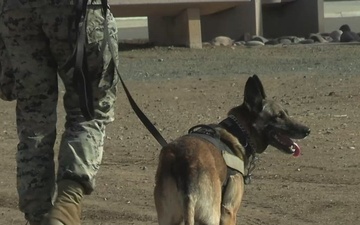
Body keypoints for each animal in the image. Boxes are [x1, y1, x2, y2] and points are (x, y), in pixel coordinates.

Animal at [154, 74, 310, 224]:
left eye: (286, 113)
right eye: (278, 116)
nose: (307, 130)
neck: (239, 132)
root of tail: (184, 165)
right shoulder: (229, 211)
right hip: (211, 217)